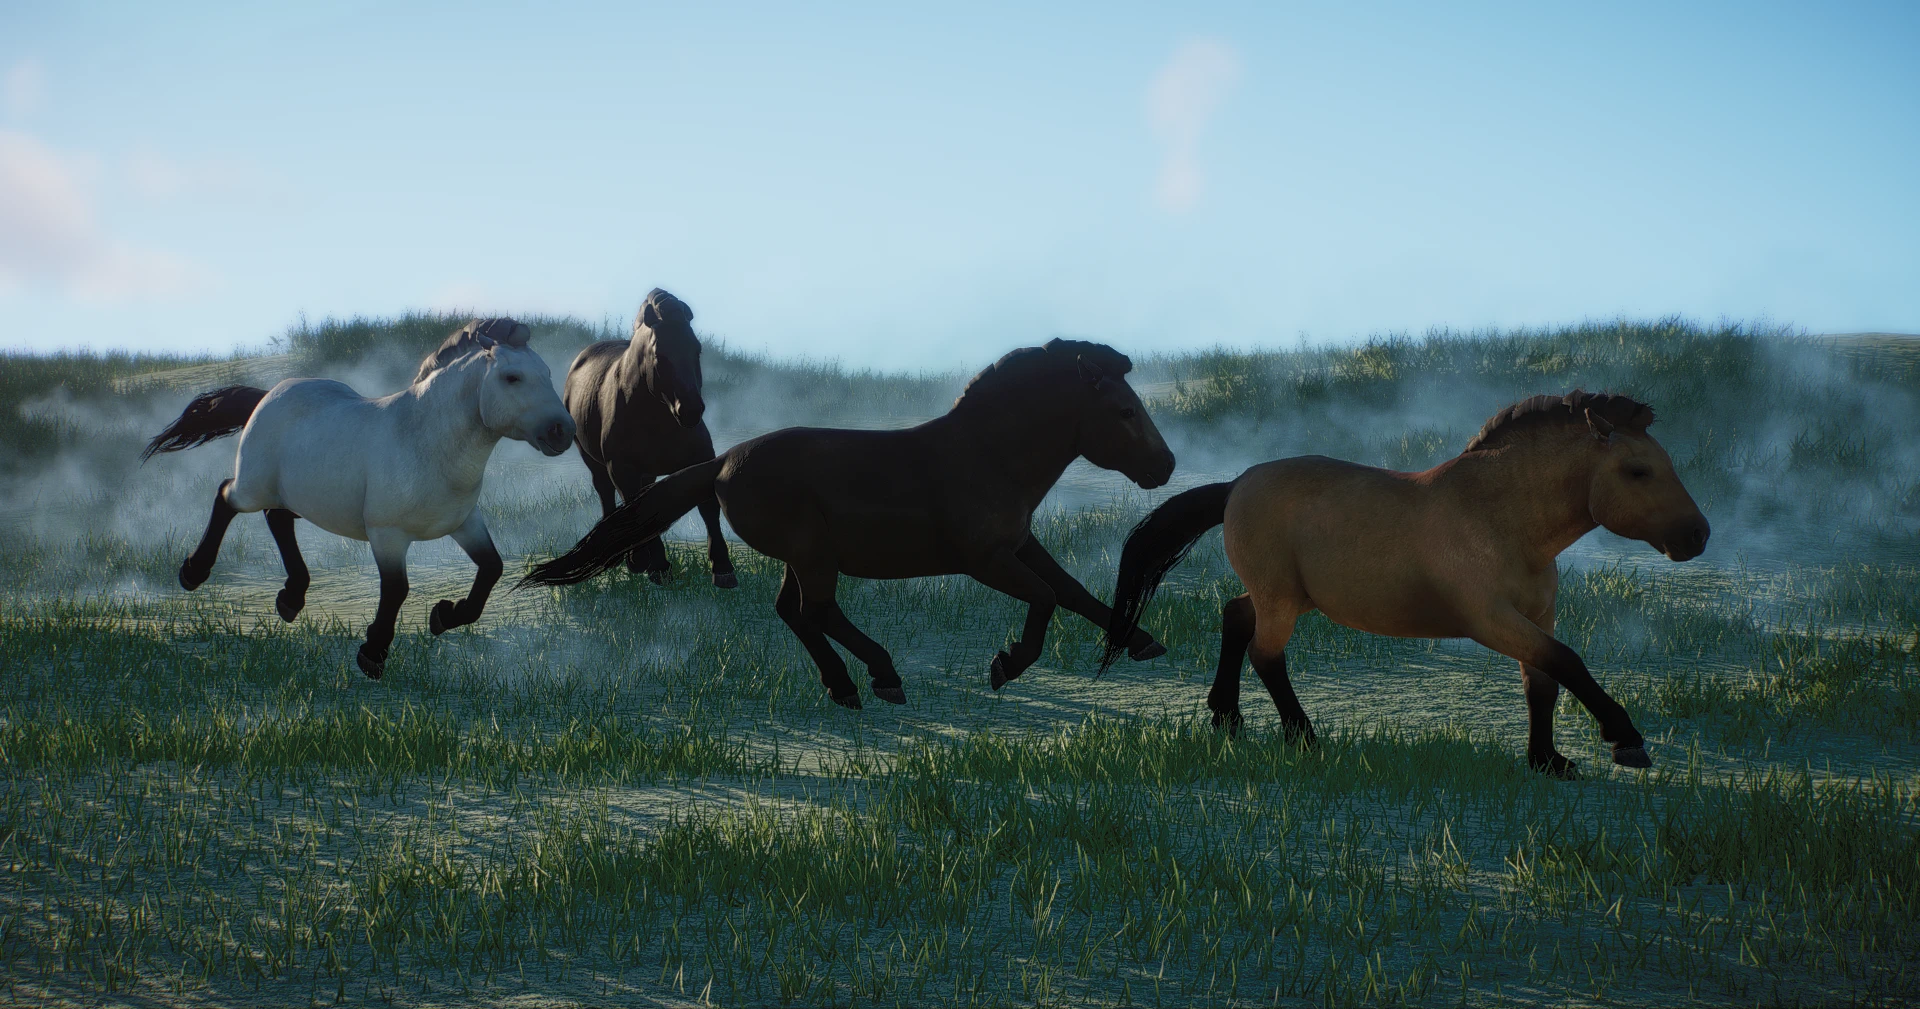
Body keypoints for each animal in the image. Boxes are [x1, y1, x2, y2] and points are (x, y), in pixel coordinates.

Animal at [142, 318, 577, 679]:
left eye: (547, 374)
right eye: (512, 377)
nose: (563, 431)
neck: (424, 442)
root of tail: (269, 396)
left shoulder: (464, 523)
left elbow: (491, 569)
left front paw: (444, 615)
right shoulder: (387, 534)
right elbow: (397, 589)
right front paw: (373, 653)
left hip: (291, 494)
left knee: (278, 519)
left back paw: (291, 598)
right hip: (253, 486)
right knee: (226, 498)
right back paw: (193, 572)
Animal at [520, 338, 1177, 709]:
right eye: (1124, 411)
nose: (1166, 466)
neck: (987, 456)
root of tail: (722, 463)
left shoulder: (1019, 544)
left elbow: (1072, 590)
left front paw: (1141, 641)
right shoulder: (984, 560)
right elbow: (1044, 598)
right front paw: (1006, 665)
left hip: (802, 556)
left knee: (795, 614)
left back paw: (844, 686)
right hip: (813, 553)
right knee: (816, 611)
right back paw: (882, 676)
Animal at [564, 288, 736, 587]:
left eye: (697, 348)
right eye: (659, 354)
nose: (690, 409)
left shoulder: (701, 458)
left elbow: (708, 507)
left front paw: (723, 569)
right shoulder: (621, 468)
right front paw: (654, 565)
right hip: (593, 460)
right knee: (606, 493)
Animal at [1100, 390, 1710, 778]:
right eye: (1638, 470)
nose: (1698, 535)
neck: (1501, 521)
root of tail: (1236, 486)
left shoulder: (1537, 617)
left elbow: (1543, 682)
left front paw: (1548, 762)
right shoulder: (1489, 619)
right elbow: (1567, 662)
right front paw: (1625, 740)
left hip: (1289, 597)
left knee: (1234, 615)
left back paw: (1226, 717)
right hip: (1282, 601)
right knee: (1266, 655)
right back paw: (1303, 737)